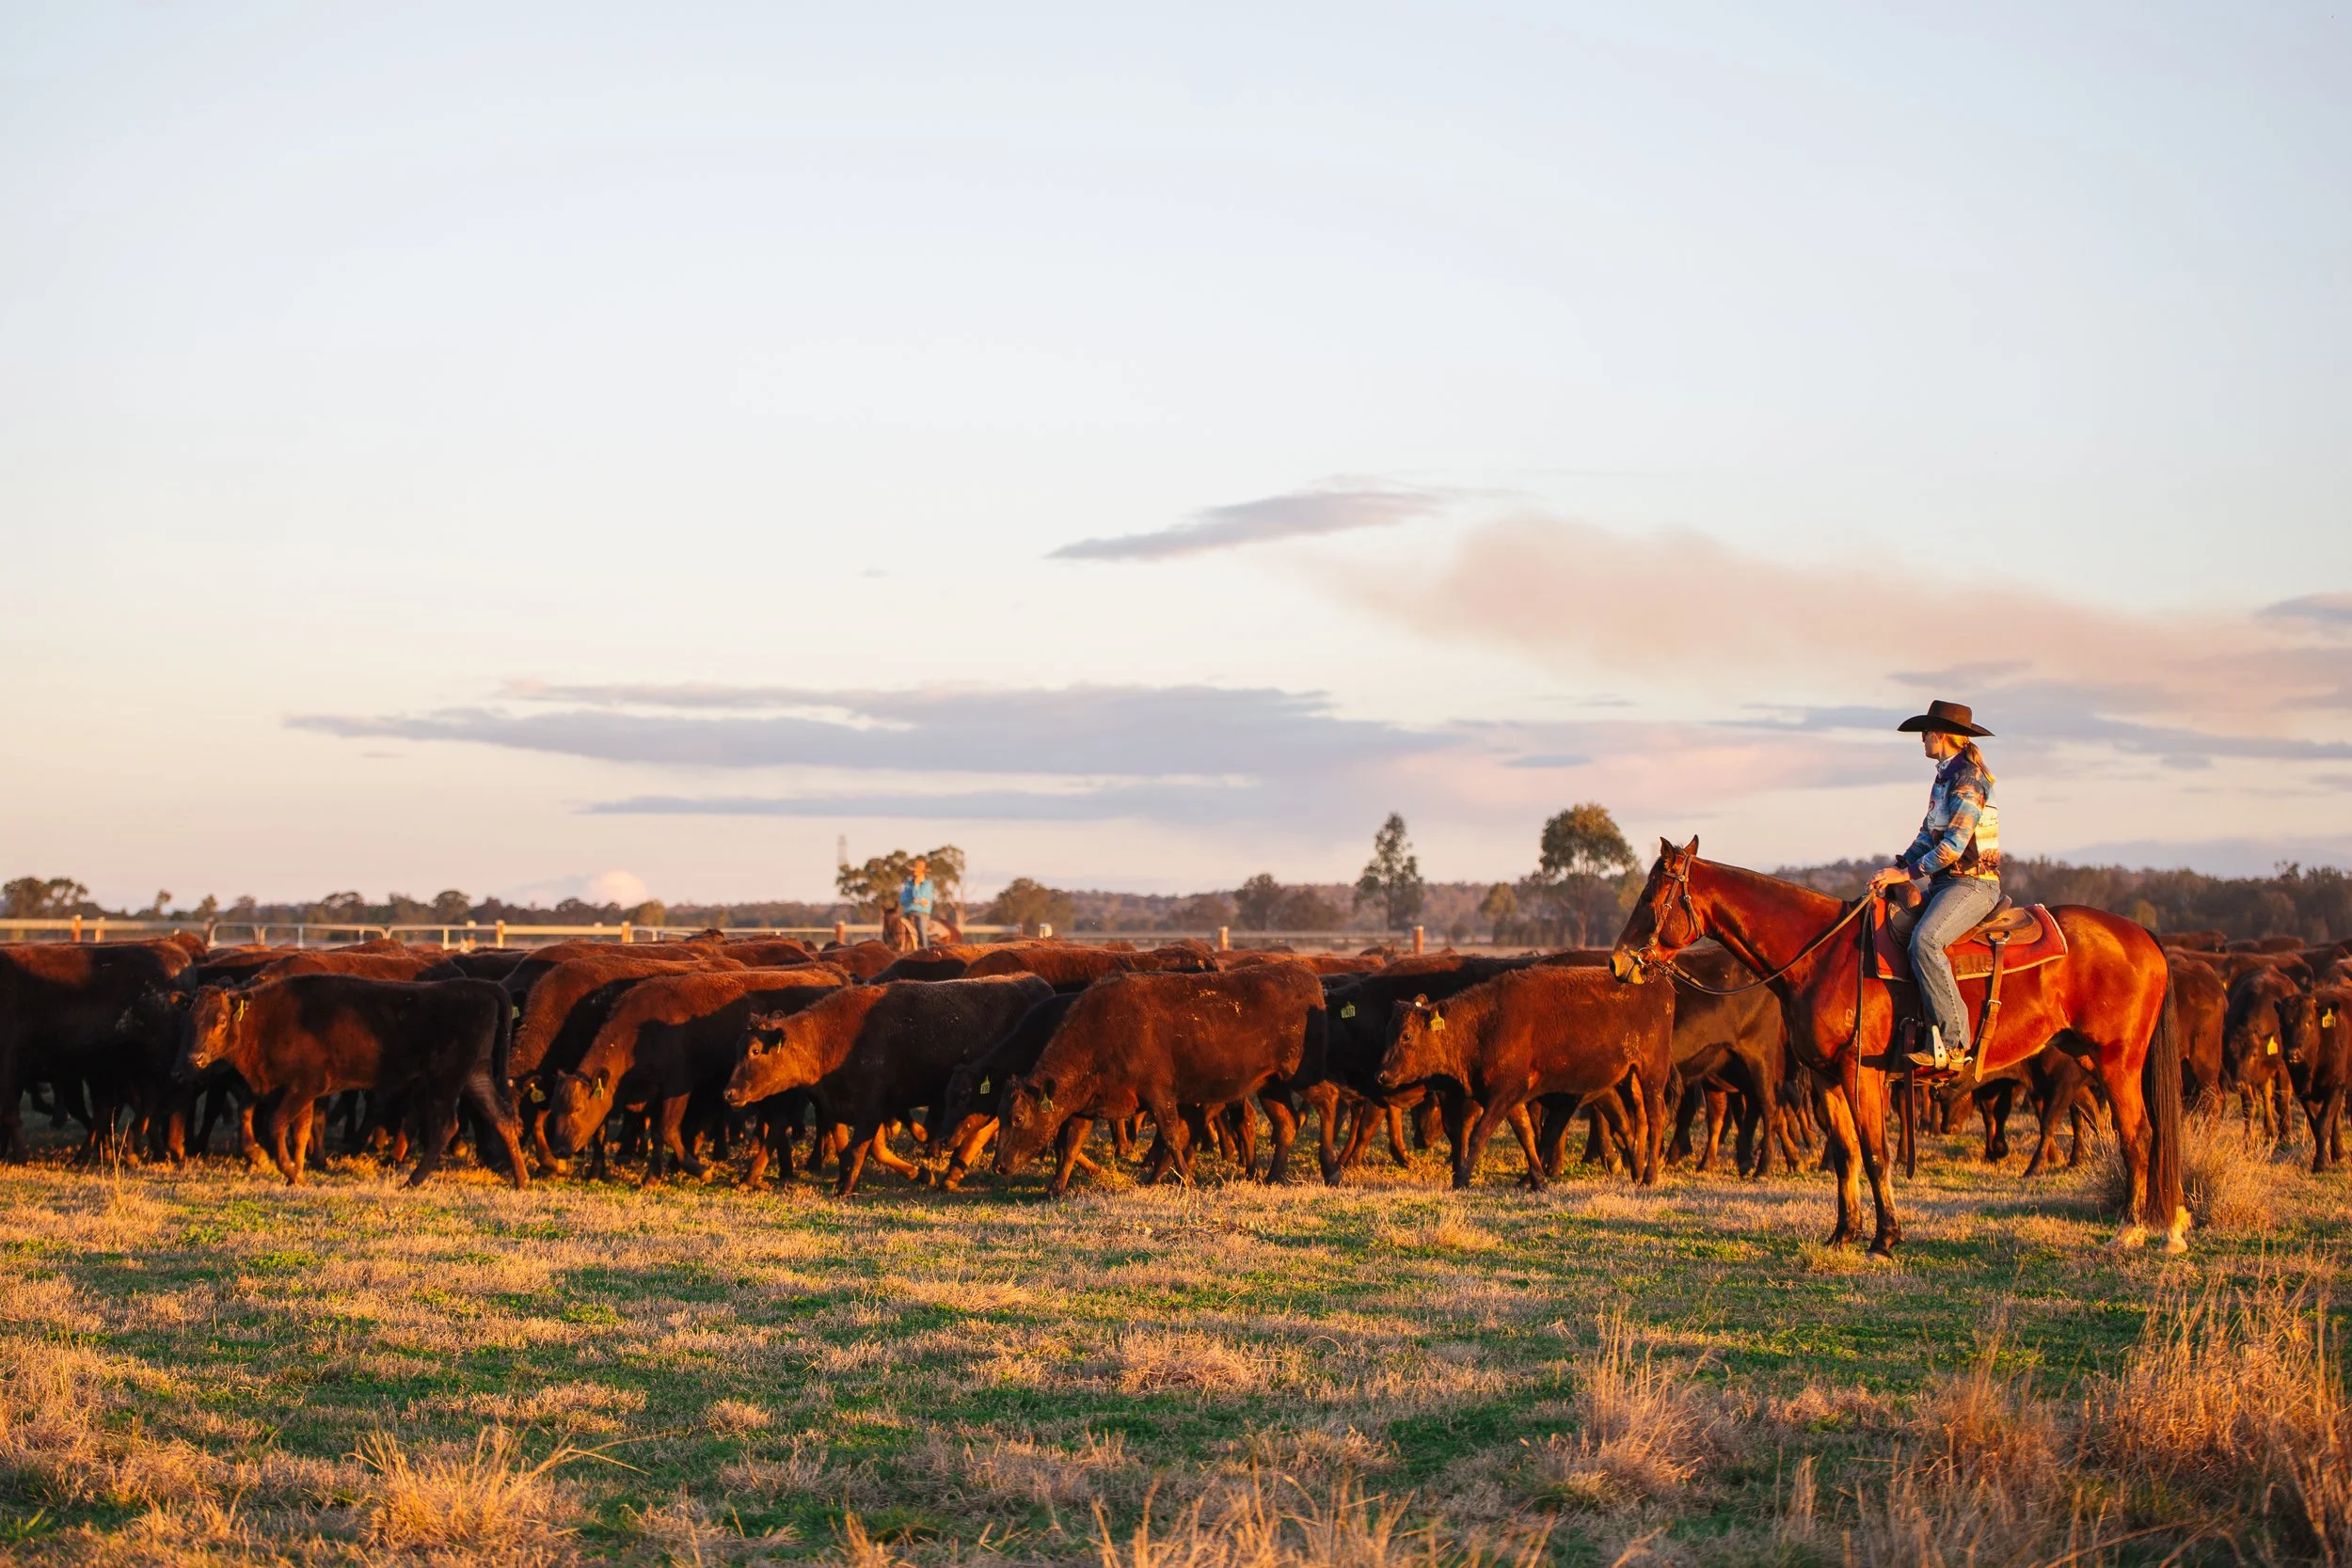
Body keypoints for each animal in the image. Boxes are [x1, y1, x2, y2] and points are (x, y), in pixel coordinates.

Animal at [177, 976, 527, 1187]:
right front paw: (297, 1174)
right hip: (476, 1076)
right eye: (190, 1019)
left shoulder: (302, 1087)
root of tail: (480, 986)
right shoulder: (301, 1093)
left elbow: (276, 1125)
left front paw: (290, 1171)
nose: (195, 1057)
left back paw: (412, 1180)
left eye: (221, 1021)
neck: (268, 1020)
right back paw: (521, 1179)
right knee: (502, 1117)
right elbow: (300, 1131)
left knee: (446, 1126)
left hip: (445, 1081)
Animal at [724, 974, 1053, 1195]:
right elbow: (858, 1147)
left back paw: (953, 1171)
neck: (831, 1038)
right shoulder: (838, 1108)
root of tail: (1037, 983)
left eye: (755, 1051)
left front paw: (847, 1187)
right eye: (738, 1048)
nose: (729, 1093)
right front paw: (917, 1173)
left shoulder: (871, 1108)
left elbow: (862, 1149)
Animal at [994, 965, 1327, 1195]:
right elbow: (1071, 1145)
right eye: (1002, 1116)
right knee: (1286, 1123)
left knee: (1328, 1102)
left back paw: (1330, 1168)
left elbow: (1171, 1136)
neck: (1105, 1032)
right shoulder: (1086, 1106)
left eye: (1018, 1118)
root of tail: (1307, 977)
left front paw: (1187, 1179)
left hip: (1304, 1076)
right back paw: (1272, 1176)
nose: (999, 1165)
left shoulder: (1159, 1095)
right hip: (1271, 1084)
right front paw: (1055, 1188)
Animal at [1375, 965, 1675, 1189]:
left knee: (1656, 1117)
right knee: (1639, 1118)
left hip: (1653, 1072)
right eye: (1389, 1032)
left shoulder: (1504, 1095)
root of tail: (1659, 982)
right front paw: (1537, 1180)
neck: (1481, 1026)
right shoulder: (1511, 1099)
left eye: (1407, 1036)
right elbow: (1526, 1135)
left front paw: (1461, 1179)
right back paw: (1637, 1172)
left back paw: (1650, 1177)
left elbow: (1480, 1133)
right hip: (1630, 1076)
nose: (1382, 1075)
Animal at [1609, 838, 2186, 1256]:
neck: (1825, 955)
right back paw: (2171, 1227)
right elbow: (1844, 1154)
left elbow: (1875, 1152)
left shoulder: (1860, 1075)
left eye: (1651, 897)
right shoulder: (1826, 1078)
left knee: (2138, 1135)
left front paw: (1885, 1238)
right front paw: (1844, 1233)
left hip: (2117, 1061)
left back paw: (2131, 1232)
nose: (1617, 962)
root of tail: (2144, 936)